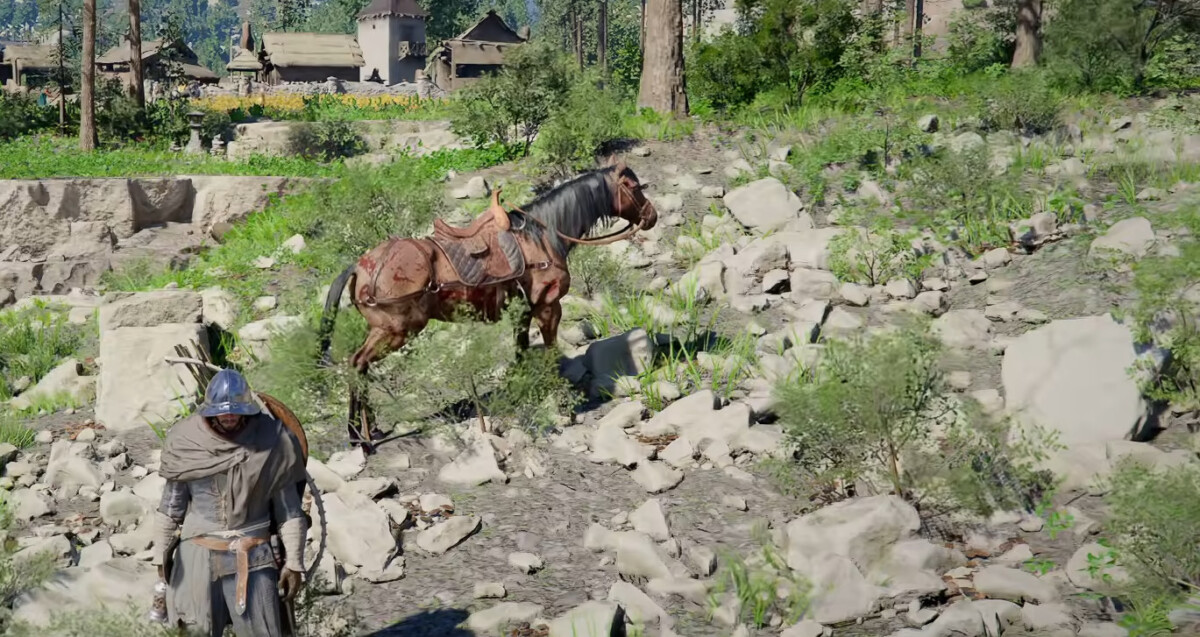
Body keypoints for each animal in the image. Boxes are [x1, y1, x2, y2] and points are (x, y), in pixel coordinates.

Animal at [316, 159, 658, 453]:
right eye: (632, 185)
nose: (652, 216)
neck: (542, 235)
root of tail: (359, 267)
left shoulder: (522, 312)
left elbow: (520, 353)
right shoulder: (548, 307)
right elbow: (549, 353)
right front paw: (559, 401)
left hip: (382, 330)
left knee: (360, 367)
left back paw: (368, 429)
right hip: (396, 330)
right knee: (357, 364)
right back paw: (358, 435)